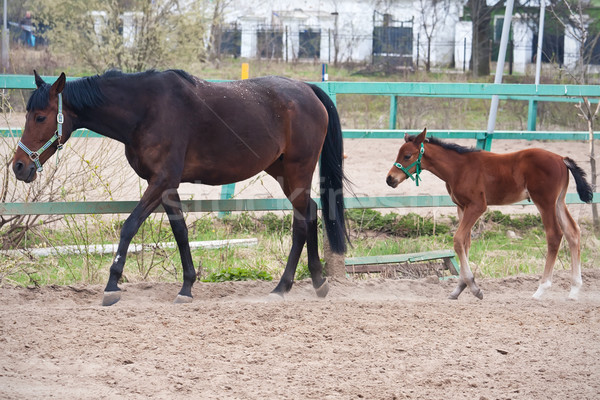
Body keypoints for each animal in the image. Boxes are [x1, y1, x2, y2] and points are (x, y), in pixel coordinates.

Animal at [14, 69, 346, 306]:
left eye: (40, 117)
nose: (18, 166)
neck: (146, 109)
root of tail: (308, 89)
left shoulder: (161, 181)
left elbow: (129, 226)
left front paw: (111, 286)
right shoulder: (166, 185)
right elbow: (181, 231)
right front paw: (187, 287)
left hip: (298, 169)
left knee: (302, 220)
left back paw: (284, 286)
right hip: (282, 172)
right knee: (310, 213)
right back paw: (315, 282)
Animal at [386, 128, 592, 300]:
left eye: (407, 155)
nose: (390, 179)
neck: (459, 168)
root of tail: (561, 158)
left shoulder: (477, 206)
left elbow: (458, 240)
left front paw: (474, 287)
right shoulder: (462, 207)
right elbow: (465, 243)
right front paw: (459, 288)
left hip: (545, 202)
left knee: (554, 235)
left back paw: (541, 290)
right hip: (559, 201)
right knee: (573, 233)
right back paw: (574, 290)